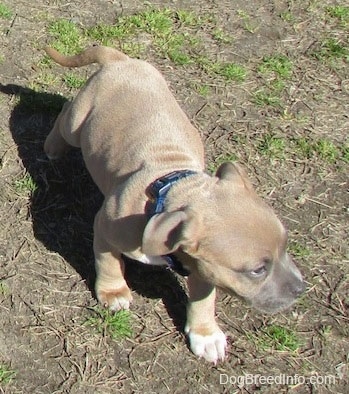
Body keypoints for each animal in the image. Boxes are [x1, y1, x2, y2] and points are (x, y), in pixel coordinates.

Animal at [44, 46, 304, 364]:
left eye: (286, 245)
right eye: (257, 270)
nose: (300, 288)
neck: (172, 187)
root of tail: (121, 60)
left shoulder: (204, 267)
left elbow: (204, 298)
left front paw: (205, 334)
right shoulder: (105, 229)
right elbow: (108, 261)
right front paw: (113, 292)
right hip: (77, 124)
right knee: (65, 116)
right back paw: (52, 148)